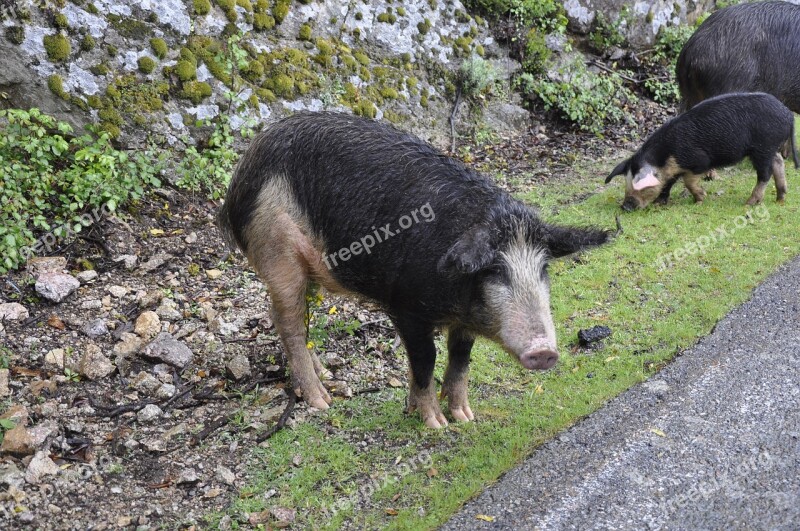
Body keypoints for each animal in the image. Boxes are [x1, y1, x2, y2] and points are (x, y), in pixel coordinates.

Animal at [216, 112, 608, 428]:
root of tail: (242, 172)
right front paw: (435, 423)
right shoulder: (405, 307)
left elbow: (461, 359)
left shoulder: (462, 322)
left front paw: (465, 418)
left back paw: (325, 374)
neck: (456, 299)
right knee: (288, 322)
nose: (544, 351)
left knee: (297, 317)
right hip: (276, 252)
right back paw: (322, 401)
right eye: (495, 269)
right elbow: (426, 358)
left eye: (543, 267)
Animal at [608, 93, 800, 210]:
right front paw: (659, 204)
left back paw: (749, 203)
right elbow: (668, 183)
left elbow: (688, 181)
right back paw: (780, 199)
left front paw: (700, 200)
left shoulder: (699, 162)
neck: (667, 155)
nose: (625, 206)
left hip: (763, 147)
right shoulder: (673, 169)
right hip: (769, 148)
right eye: (626, 182)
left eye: (640, 186)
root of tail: (788, 115)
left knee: (765, 173)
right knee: (778, 161)